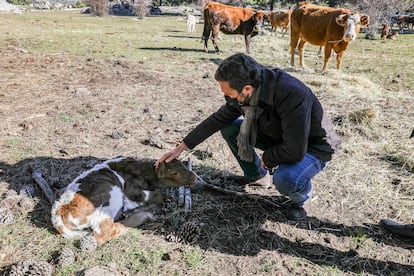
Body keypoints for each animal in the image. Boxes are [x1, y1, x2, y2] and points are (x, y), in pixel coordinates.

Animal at [51, 156, 196, 245]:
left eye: (183, 165)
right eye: (175, 173)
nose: (194, 176)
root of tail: (59, 210)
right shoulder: (130, 192)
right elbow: (157, 196)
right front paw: (134, 210)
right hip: (111, 194)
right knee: (102, 233)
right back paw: (141, 216)